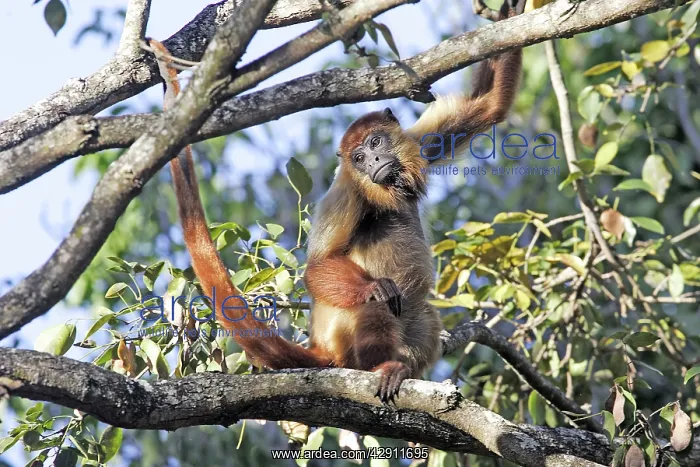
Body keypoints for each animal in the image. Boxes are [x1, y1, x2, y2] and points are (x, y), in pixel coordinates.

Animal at [148, 0, 523, 403]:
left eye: (375, 142)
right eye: (358, 158)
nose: (373, 161)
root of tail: (322, 347)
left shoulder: (419, 143)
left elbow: (488, 105)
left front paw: (508, 13)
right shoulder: (346, 193)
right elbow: (318, 269)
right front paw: (372, 288)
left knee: (421, 311)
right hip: (344, 342)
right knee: (376, 308)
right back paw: (380, 364)